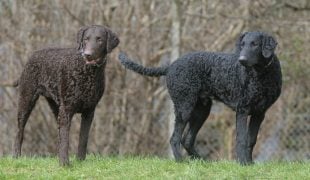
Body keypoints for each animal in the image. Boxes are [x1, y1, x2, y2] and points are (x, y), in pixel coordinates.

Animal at [119, 31, 284, 165]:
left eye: (254, 44)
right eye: (242, 44)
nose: (241, 60)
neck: (260, 75)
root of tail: (170, 66)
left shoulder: (260, 113)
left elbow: (251, 140)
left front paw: (250, 164)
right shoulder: (242, 110)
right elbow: (242, 139)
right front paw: (242, 164)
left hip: (201, 110)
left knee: (187, 140)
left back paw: (201, 161)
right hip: (184, 107)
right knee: (175, 138)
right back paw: (181, 161)